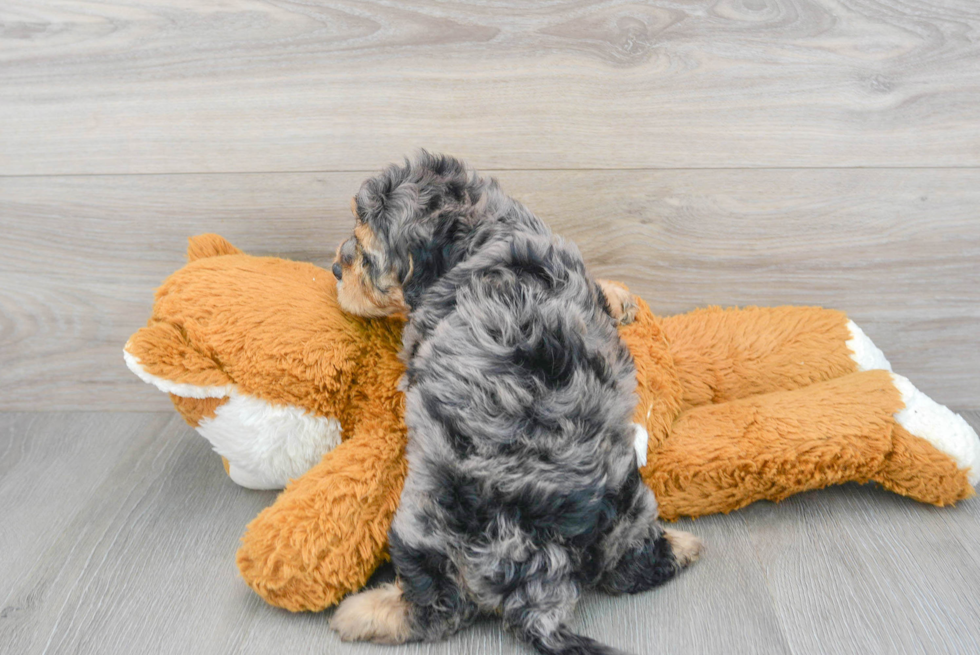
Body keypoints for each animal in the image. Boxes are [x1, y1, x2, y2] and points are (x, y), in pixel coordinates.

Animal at [334, 152, 700, 655]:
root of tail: (540, 583)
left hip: (424, 521)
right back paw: (682, 547)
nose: (336, 267)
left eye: (366, 257)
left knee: (436, 606)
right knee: (632, 566)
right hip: (628, 504)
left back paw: (363, 612)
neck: (485, 231)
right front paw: (621, 296)